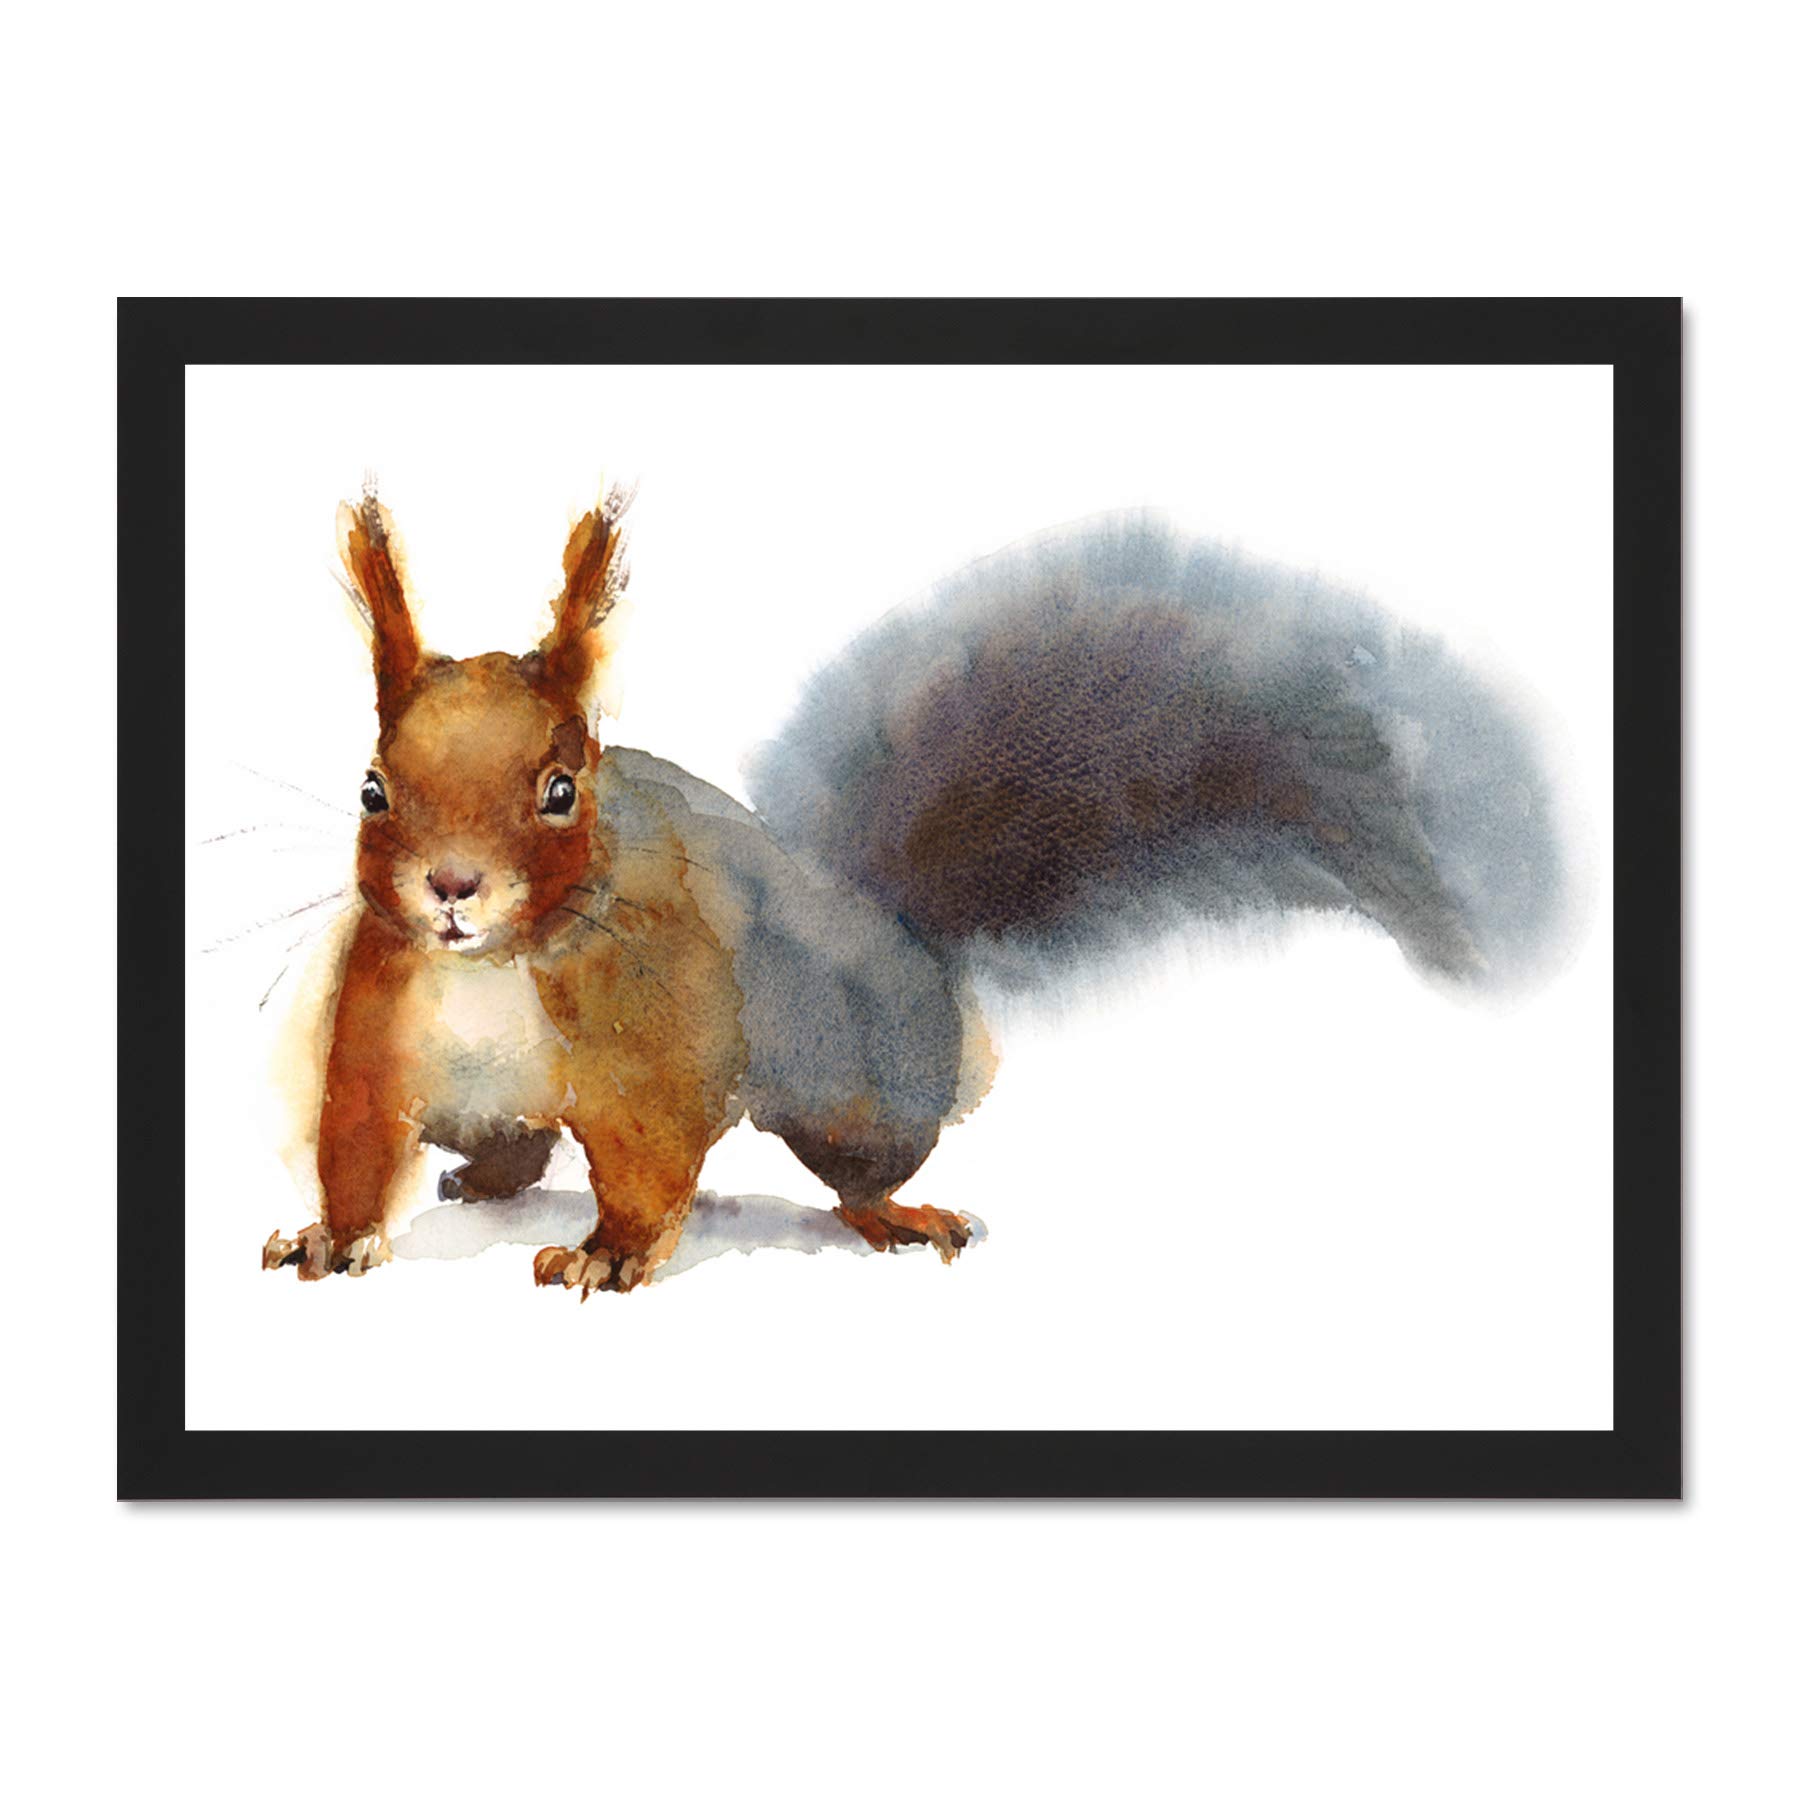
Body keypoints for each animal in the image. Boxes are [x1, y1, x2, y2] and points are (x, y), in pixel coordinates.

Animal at [263, 481, 1566, 1296]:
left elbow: (648, 1158)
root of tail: (889, 929)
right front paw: (331, 1237)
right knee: (517, 1147)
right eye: (373, 787)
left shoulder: (654, 1037)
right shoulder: (382, 1020)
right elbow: (355, 1137)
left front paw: (609, 1256)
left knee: (860, 1170)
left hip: (859, 1088)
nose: (452, 889)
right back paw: (486, 1176)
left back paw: (894, 1216)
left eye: (559, 788)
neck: (495, 965)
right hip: (502, 1102)